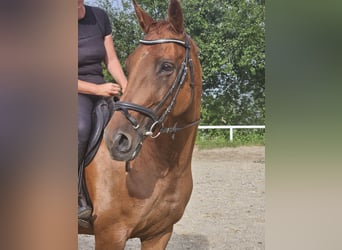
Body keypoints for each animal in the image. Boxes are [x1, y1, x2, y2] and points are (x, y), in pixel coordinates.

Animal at [78, 0, 202, 248]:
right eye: (130, 62)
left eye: (167, 66)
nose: (116, 140)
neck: (163, 167)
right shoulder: (110, 234)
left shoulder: (159, 234)